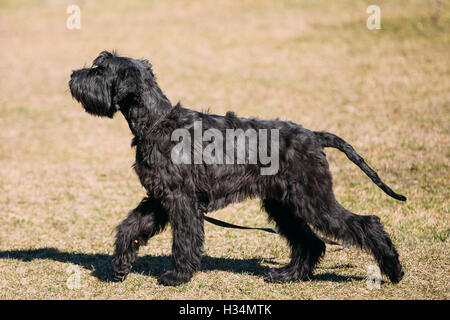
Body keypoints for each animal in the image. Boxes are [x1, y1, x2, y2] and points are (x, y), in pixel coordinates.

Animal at [68, 51, 406, 286]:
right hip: (284, 205)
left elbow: (184, 239)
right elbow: (131, 227)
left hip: (314, 201)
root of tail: (313, 135)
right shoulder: (159, 198)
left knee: (366, 223)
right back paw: (287, 275)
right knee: (310, 242)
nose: (72, 75)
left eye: (100, 69)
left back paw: (393, 270)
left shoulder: (181, 200)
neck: (156, 122)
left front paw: (178, 276)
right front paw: (120, 265)